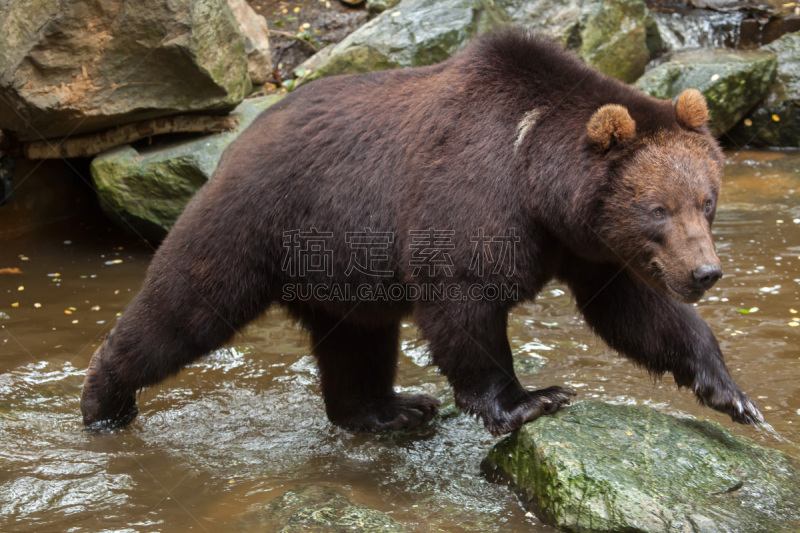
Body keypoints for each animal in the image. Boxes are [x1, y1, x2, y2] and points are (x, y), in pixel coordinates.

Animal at [81, 28, 764, 432]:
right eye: (658, 209)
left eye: (706, 201)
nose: (705, 272)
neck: (535, 179)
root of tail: (239, 138)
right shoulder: (469, 199)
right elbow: (466, 307)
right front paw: (528, 399)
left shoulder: (583, 244)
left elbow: (636, 312)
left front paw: (732, 393)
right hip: (256, 222)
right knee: (186, 307)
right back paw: (104, 401)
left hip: (340, 265)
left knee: (357, 339)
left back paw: (390, 408)